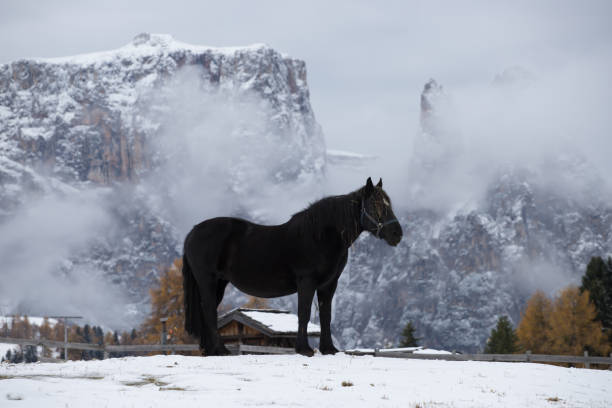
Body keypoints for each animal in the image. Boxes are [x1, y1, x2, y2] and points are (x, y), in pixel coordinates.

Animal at [182, 177, 402, 356]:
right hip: (207, 279)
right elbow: (304, 313)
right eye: (374, 205)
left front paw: (329, 349)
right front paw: (304, 349)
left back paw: (211, 350)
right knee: (209, 309)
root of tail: (193, 232)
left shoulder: (329, 284)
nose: (397, 234)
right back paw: (221, 350)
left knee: (208, 310)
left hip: (219, 282)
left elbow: (326, 315)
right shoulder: (307, 281)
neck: (321, 236)